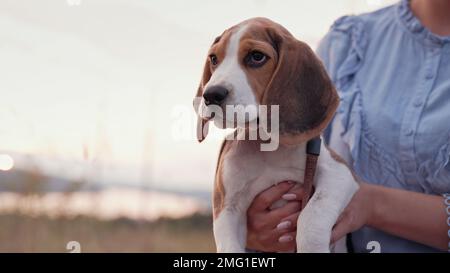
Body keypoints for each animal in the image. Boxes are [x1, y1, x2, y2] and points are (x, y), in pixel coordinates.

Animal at [192, 16, 358, 251]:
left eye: (257, 57)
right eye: (214, 58)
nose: (211, 95)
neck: (266, 144)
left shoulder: (339, 173)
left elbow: (311, 216)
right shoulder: (227, 206)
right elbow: (229, 245)